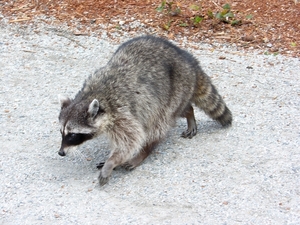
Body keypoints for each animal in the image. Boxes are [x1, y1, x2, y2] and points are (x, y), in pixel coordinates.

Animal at [58, 35, 232, 186]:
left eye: (73, 135)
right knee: (180, 110)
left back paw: (144, 151)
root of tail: (189, 61)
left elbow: (133, 139)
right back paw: (189, 111)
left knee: (159, 124)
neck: (92, 95)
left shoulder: (122, 114)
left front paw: (112, 162)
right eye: (62, 132)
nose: (61, 153)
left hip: (174, 91)